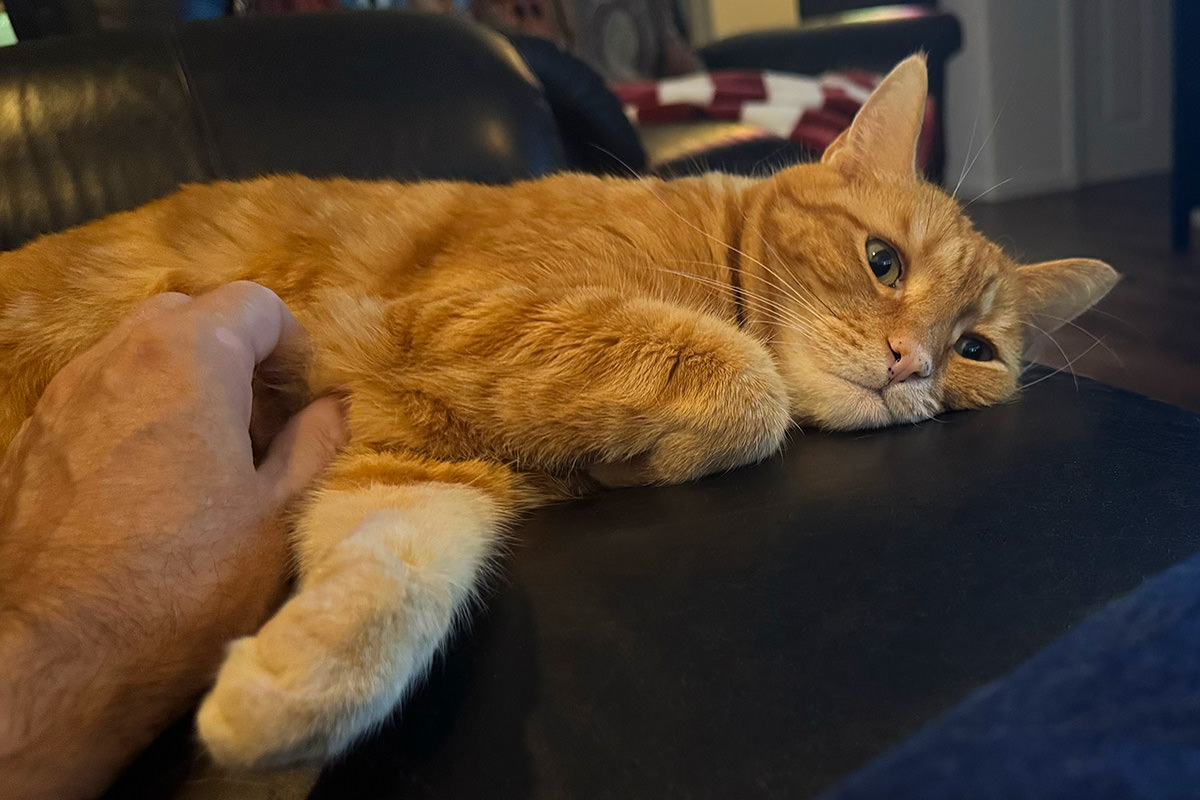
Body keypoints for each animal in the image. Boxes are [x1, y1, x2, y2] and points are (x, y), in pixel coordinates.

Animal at [0, 53, 1113, 767]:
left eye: (975, 351)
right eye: (883, 262)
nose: (911, 362)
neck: (709, 255)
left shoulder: (409, 462)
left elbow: (392, 568)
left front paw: (278, 696)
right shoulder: (456, 314)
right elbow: (748, 382)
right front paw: (648, 452)